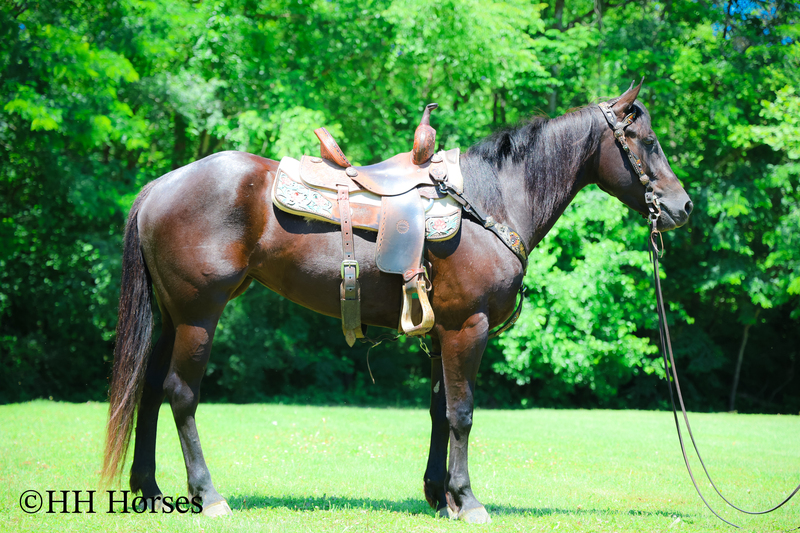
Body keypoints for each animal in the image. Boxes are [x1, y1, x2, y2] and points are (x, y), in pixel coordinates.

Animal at [101, 81, 692, 522]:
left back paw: (152, 492)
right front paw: (468, 501)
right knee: (180, 394)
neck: (492, 200)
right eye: (644, 139)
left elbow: (438, 410)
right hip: (199, 315)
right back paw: (208, 495)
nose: (682, 206)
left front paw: (440, 495)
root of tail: (161, 185)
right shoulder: (468, 326)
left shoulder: (441, 331)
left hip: (172, 318)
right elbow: (462, 413)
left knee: (149, 392)